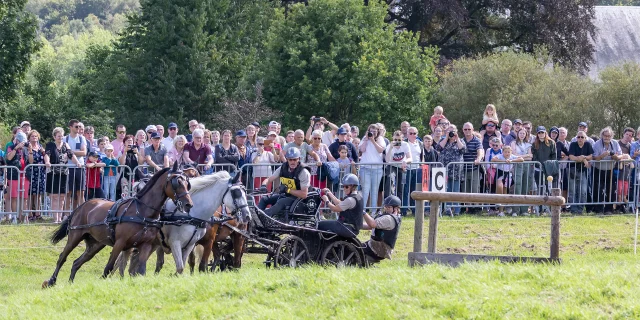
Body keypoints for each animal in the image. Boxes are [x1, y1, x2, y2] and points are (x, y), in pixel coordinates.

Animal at [42, 162, 191, 288]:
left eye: (187, 183)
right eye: (177, 182)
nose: (188, 204)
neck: (142, 211)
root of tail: (82, 205)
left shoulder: (145, 245)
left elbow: (141, 270)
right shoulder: (120, 243)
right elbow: (108, 268)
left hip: (95, 245)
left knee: (76, 263)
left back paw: (70, 283)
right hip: (75, 236)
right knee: (62, 258)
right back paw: (51, 281)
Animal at [116, 170, 251, 276]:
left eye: (243, 192)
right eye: (236, 192)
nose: (247, 215)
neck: (193, 214)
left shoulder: (200, 243)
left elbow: (196, 266)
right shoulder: (176, 243)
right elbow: (182, 266)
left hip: (238, 235)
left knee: (235, 259)